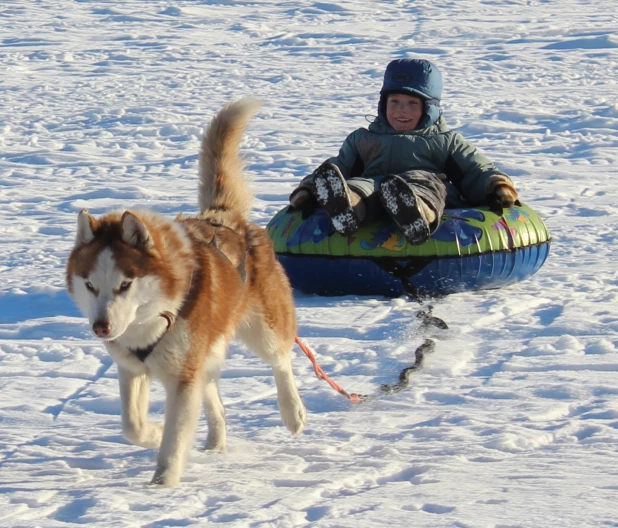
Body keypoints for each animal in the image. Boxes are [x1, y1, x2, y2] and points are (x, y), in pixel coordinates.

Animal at [67, 99, 306, 486]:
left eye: (125, 284)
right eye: (90, 285)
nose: (101, 327)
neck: (152, 316)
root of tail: (224, 216)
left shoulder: (182, 377)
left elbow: (175, 436)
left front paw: (163, 484)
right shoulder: (133, 368)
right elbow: (132, 425)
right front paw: (151, 433)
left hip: (262, 328)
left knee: (281, 358)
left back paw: (292, 412)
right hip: (202, 353)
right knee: (215, 401)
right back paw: (215, 441)